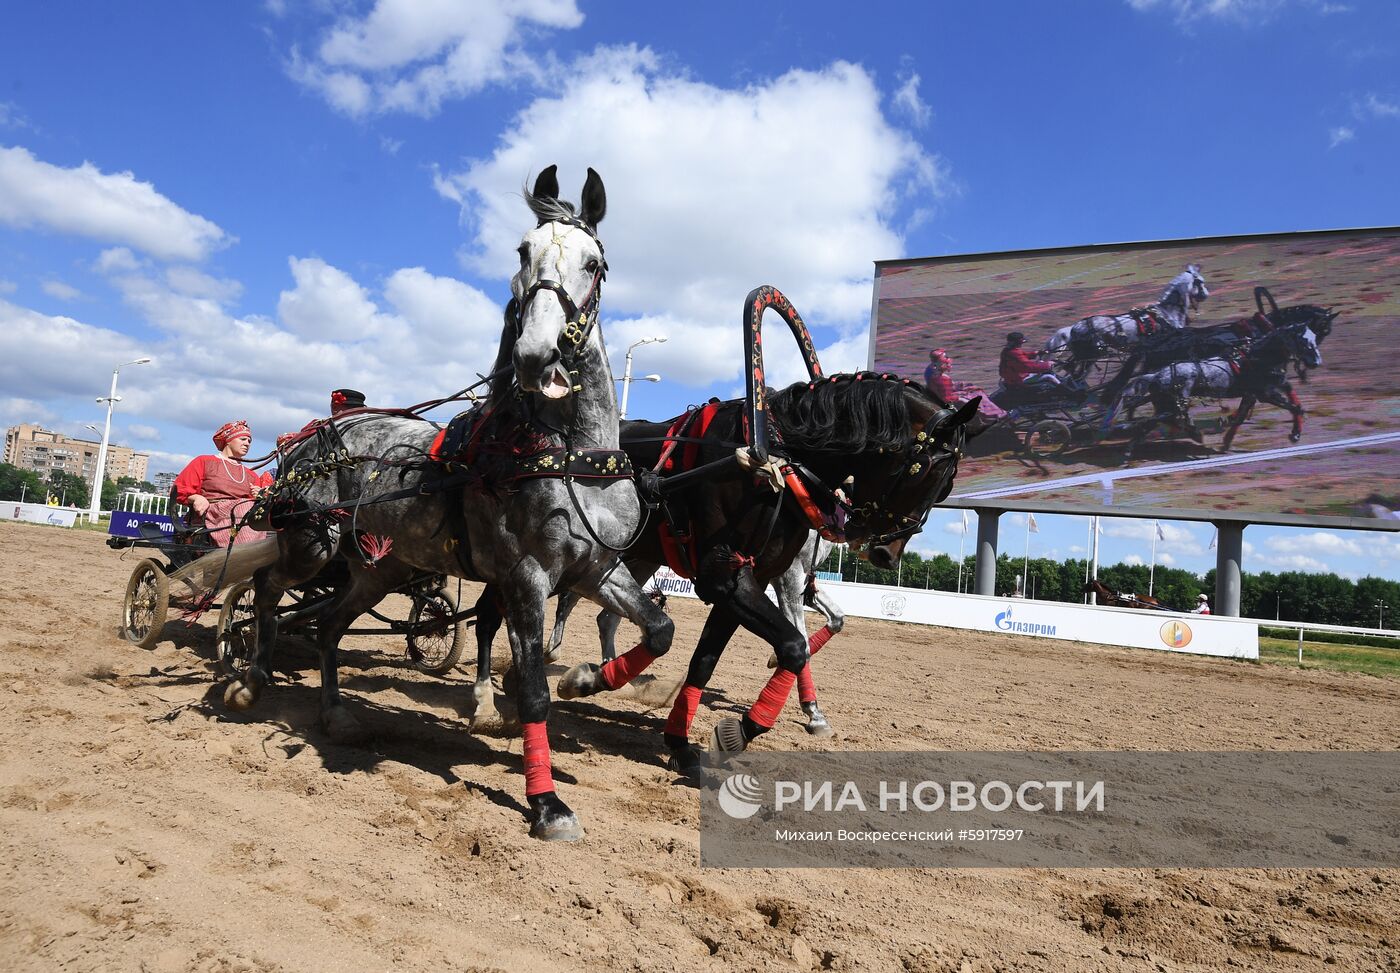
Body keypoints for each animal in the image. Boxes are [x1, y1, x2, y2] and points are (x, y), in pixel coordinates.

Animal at [225, 167, 672, 845]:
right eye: (522, 251)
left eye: (593, 264)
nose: (537, 355)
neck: (571, 457)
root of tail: (313, 436)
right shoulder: (526, 577)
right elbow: (533, 693)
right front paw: (546, 803)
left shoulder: (597, 570)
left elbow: (660, 629)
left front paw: (588, 678)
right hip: (311, 545)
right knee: (268, 588)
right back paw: (251, 679)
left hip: (378, 569)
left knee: (328, 624)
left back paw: (334, 714)